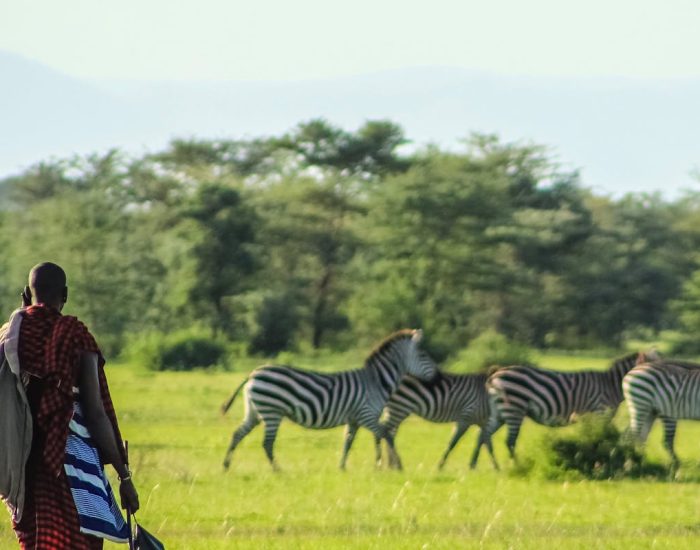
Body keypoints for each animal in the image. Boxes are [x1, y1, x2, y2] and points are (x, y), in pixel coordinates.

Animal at [220, 330, 438, 472]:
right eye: (423, 355)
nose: (437, 378)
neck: (376, 381)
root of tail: (253, 373)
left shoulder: (355, 419)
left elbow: (348, 441)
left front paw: (342, 467)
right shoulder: (366, 414)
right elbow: (385, 434)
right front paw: (395, 465)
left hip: (255, 411)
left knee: (237, 434)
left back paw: (226, 465)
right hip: (272, 411)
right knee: (267, 443)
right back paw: (277, 470)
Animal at [484, 352, 660, 460]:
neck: (609, 385)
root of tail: (496, 374)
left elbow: (593, 438)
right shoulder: (600, 412)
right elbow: (598, 438)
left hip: (501, 412)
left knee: (485, 435)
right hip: (514, 408)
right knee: (509, 441)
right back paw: (517, 465)